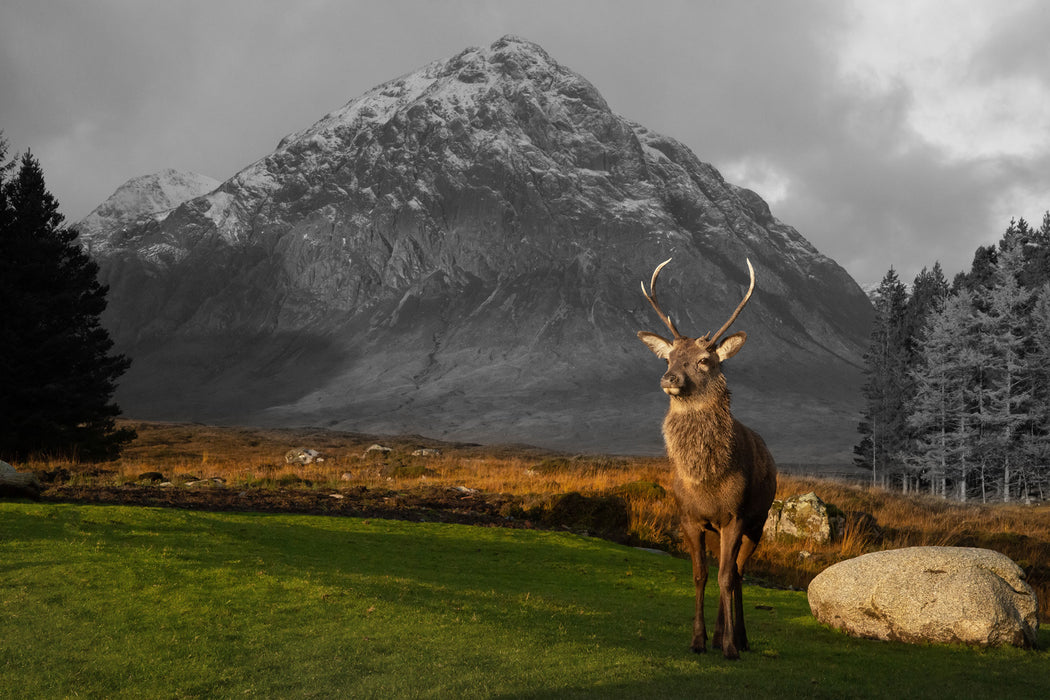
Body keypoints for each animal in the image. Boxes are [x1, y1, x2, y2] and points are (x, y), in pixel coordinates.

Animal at [630, 256, 781, 659]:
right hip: (719, 529)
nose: (669, 378)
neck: (707, 478)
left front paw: (729, 646)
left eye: (703, 360)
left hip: (758, 522)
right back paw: (718, 636)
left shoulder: (735, 516)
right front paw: (697, 640)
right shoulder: (690, 518)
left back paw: (738, 638)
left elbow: (726, 577)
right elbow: (700, 575)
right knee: (727, 573)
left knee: (737, 574)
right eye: (669, 357)